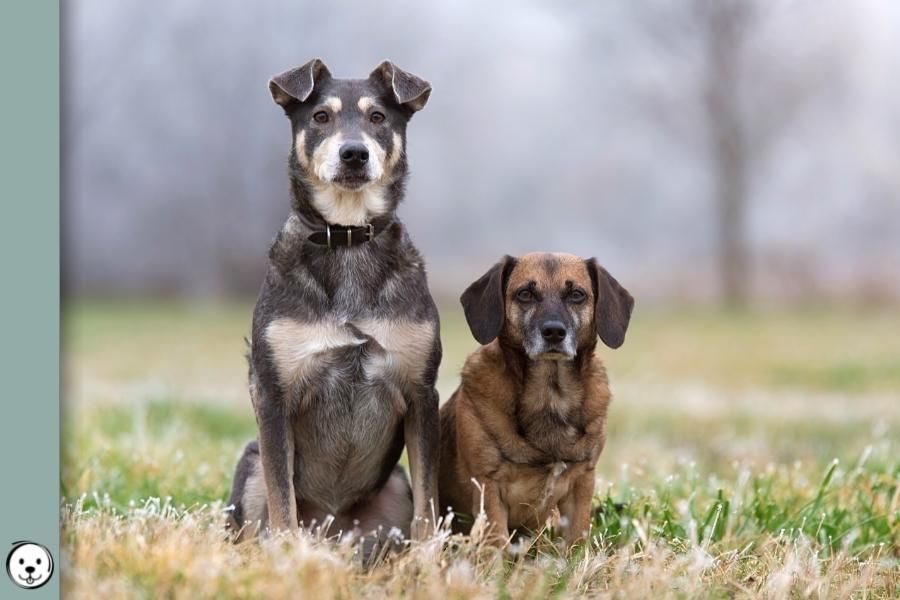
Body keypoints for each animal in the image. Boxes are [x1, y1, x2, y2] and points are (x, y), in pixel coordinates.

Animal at [229, 61, 442, 552]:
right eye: (320, 117)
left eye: (378, 117)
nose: (353, 154)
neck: (346, 237)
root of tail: (332, 529)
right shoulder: (272, 393)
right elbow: (282, 501)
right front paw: (287, 557)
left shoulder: (423, 393)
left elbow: (429, 504)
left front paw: (429, 561)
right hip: (249, 468)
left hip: (393, 486)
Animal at [438, 251, 632, 548]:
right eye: (525, 293)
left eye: (577, 294)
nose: (553, 332)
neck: (550, 395)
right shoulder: (488, 486)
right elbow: (496, 543)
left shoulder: (581, 483)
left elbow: (577, 540)